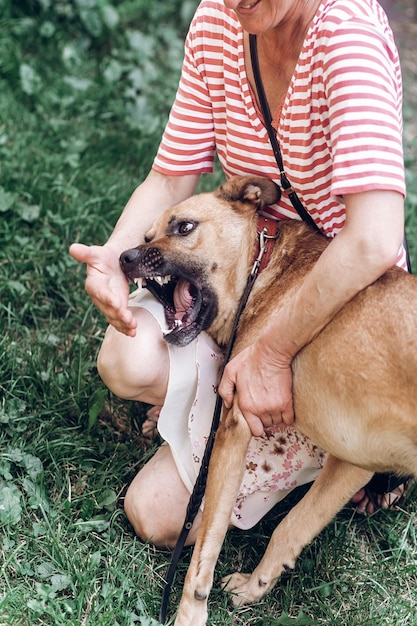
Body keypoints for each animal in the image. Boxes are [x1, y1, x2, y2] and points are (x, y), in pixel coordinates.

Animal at [118, 174, 416, 624]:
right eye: (147, 235)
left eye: (184, 227)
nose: (124, 257)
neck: (264, 271)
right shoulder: (353, 462)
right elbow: (292, 526)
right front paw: (255, 587)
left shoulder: (234, 429)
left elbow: (204, 551)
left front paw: (190, 611)